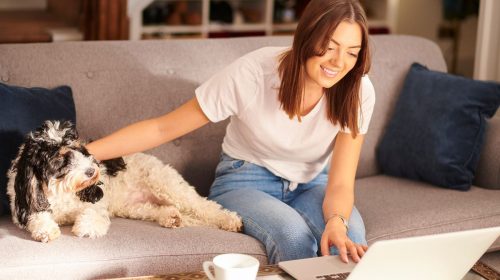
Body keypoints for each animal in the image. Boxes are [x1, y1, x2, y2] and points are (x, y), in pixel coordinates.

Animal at [6, 121, 242, 243]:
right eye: (60, 158)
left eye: (80, 149)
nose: (92, 171)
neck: (60, 191)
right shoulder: (28, 204)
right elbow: (38, 217)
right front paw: (46, 230)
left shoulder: (95, 203)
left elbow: (91, 213)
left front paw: (87, 227)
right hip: (136, 207)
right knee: (163, 209)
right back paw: (171, 217)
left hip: (167, 185)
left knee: (205, 206)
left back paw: (230, 220)